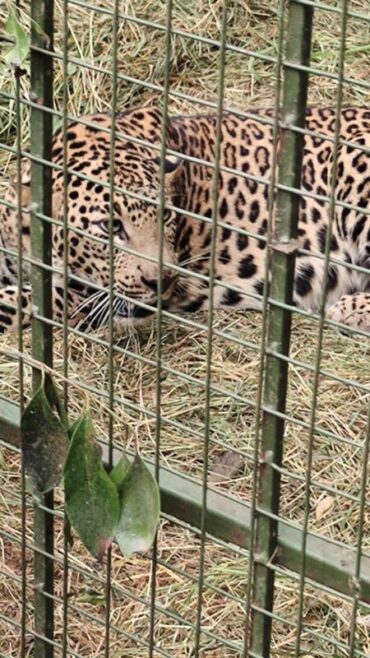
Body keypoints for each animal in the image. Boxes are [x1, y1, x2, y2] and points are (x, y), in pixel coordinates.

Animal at [0, 107, 370, 336]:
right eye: (110, 226)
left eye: (165, 215)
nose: (161, 280)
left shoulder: (78, 296)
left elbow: (12, 302)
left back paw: (349, 308)